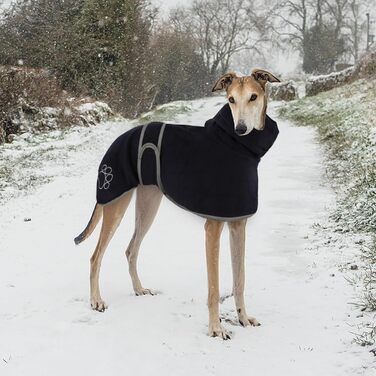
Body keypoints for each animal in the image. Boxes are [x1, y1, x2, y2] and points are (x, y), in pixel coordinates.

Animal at [74, 69, 280, 340]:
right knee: (95, 256)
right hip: (115, 204)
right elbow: (214, 286)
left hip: (148, 206)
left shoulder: (238, 225)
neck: (238, 148)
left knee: (131, 249)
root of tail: (119, 139)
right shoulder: (213, 228)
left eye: (253, 97)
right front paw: (216, 329)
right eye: (231, 99)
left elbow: (240, 279)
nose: (241, 128)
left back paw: (139, 289)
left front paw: (243, 319)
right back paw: (96, 300)